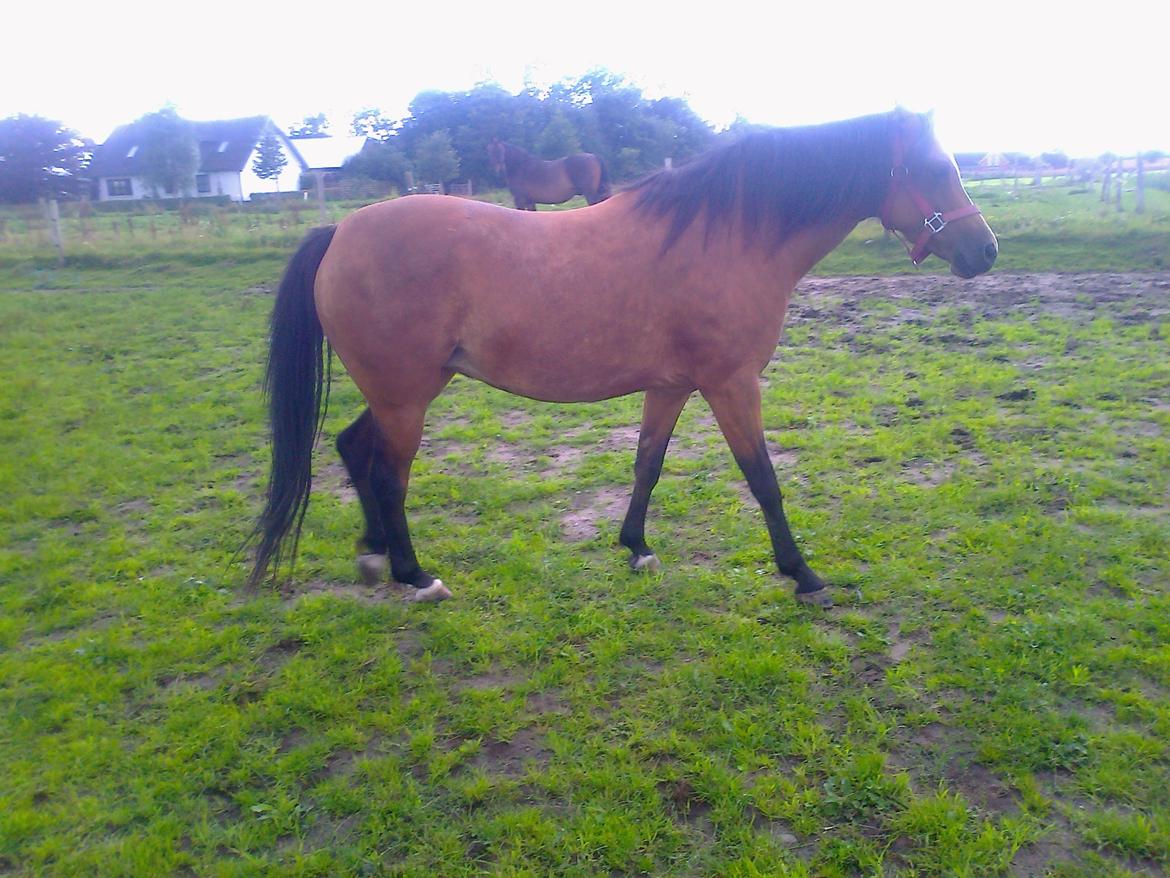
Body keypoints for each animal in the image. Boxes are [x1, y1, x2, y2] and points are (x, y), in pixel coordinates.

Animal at [249, 109, 997, 606]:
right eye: (937, 169)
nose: (985, 252)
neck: (729, 237)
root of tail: (340, 231)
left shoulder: (671, 386)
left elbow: (647, 464)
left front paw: (636, 548)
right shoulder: (732, 384)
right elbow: (763, 479)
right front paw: (803, 574)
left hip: (400, 391)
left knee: (352, 449)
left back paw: (373, 558)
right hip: (406, 396)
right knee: (387, 474)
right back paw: (415, 574)